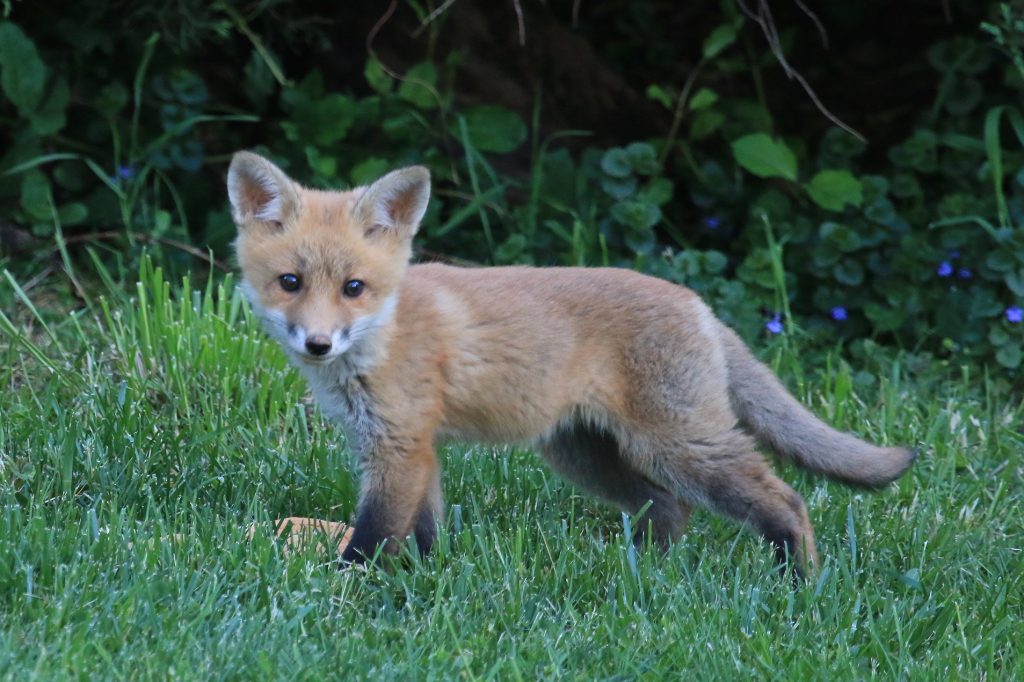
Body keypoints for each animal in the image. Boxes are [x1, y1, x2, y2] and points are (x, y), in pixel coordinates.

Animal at [228, 151, 917, 569]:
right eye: (290, 283)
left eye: (353, 288)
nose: (318, 344)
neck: (384, 336)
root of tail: (699, 304)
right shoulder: (407, 447)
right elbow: (422, 533)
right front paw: (427, 578)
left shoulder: (400, 446)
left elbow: (371, 539)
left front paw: (345, 591)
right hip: (583, 452)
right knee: (668, 507)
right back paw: (648, 576)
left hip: (679, 445)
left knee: (782, 499)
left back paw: (797, 581)